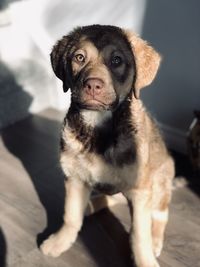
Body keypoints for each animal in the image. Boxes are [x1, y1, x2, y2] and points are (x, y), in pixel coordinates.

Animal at [39, 25, 174, 267]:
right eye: (79, 58)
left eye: (117, 60)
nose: (93, 85)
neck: (97, 126)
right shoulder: (73, 177)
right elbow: (70, 215)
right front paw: (60, 241)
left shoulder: (140, 190)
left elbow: (140, 234)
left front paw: (145, 259)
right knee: (108, 198)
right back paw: (89, 206)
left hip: (161, 179)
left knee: (160, 214)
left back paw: (156, 240)